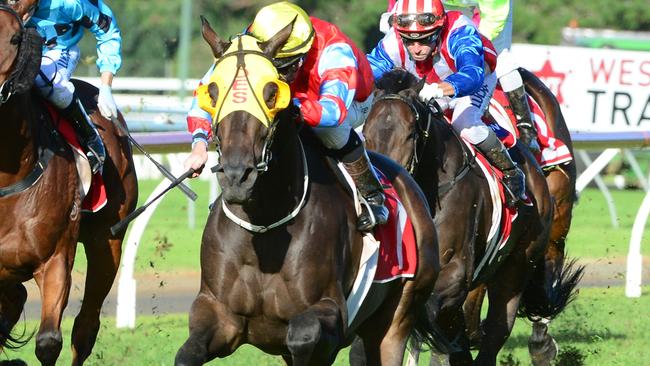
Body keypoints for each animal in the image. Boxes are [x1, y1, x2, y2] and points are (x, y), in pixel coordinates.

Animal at [175, 19, 442, 366]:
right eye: (213, 90)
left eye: (272, 91)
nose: (237, 176)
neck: (265, 225)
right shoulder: (217, 312)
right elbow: (188, 353)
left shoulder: (330, 314)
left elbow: (302, 335)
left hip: (397, 316)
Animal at [360, 68, 556, 364]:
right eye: (366, 133)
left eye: (410, 134)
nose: (387, 185)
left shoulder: (455, 272)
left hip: (518, 264)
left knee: (496, 330)